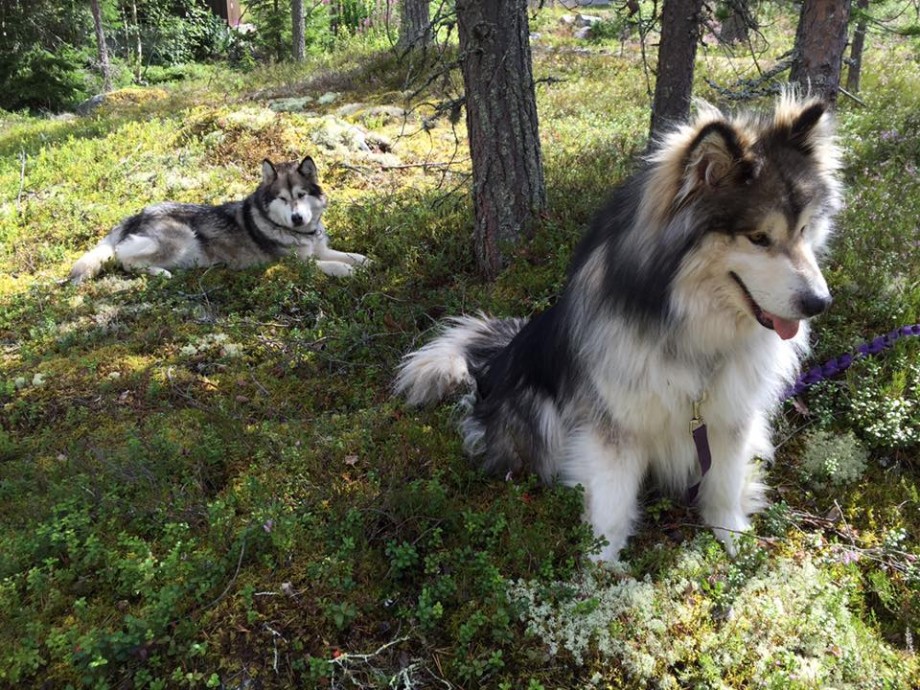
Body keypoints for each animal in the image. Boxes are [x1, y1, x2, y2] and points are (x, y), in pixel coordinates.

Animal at [69, 156, 368, 284]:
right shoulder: (291, 263)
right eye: (282, 199)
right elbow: (330, 265)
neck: (300, 233)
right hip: (180, 238)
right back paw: (159, 273)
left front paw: (366, 260)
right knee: (124, 258)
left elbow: (350, 255)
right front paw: (346, 270)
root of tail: (138, 213)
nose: (297, 218)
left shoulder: (319, 248)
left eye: (301, 195)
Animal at [396, 93, 842, 561]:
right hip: (537, 414)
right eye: (758, 238)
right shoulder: (615, 427)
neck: (691, 329)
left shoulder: (728, 414)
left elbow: (724, 483)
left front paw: (734, 538)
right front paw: (602, 566)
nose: (819, 303)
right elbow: (611, 502)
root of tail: (497, 358)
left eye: (804, 230)